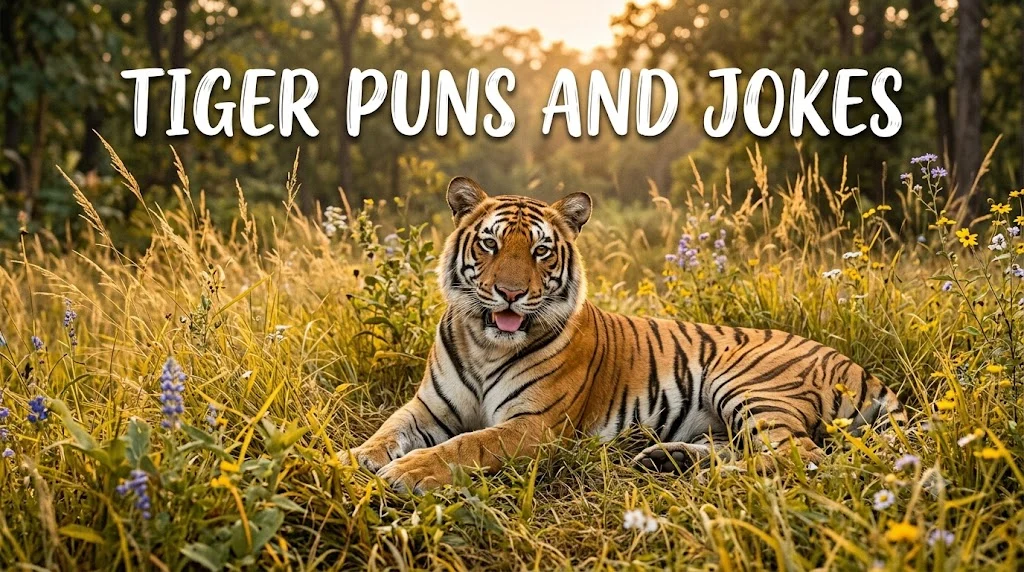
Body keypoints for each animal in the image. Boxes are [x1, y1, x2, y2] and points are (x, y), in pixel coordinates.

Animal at [339, 176, 906, 492]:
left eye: (541, 251)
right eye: (490, 244)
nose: (509, 294)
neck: (485, 344)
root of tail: (858, 366)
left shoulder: (533, 426)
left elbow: (466, 446)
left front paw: (408, 473)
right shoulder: (427, 408)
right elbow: (387, 431)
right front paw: (349, 459)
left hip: (749, 383)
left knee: (801, 459)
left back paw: (701, 474)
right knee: (757, 450)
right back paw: (666, 459)